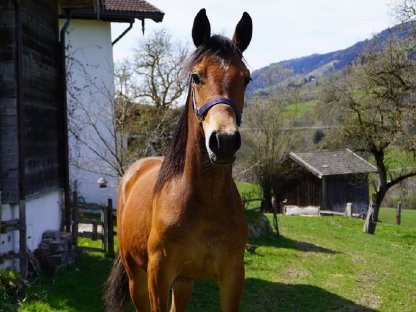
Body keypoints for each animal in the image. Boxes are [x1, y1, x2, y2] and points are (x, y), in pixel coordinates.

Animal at [105, 8, 252, 310]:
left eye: (246, 79)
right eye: (196, 77)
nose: (224, 141)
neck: (205, 201)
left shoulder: (232, 276)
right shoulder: (158, 276)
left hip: (184, 282)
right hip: (136, 277)